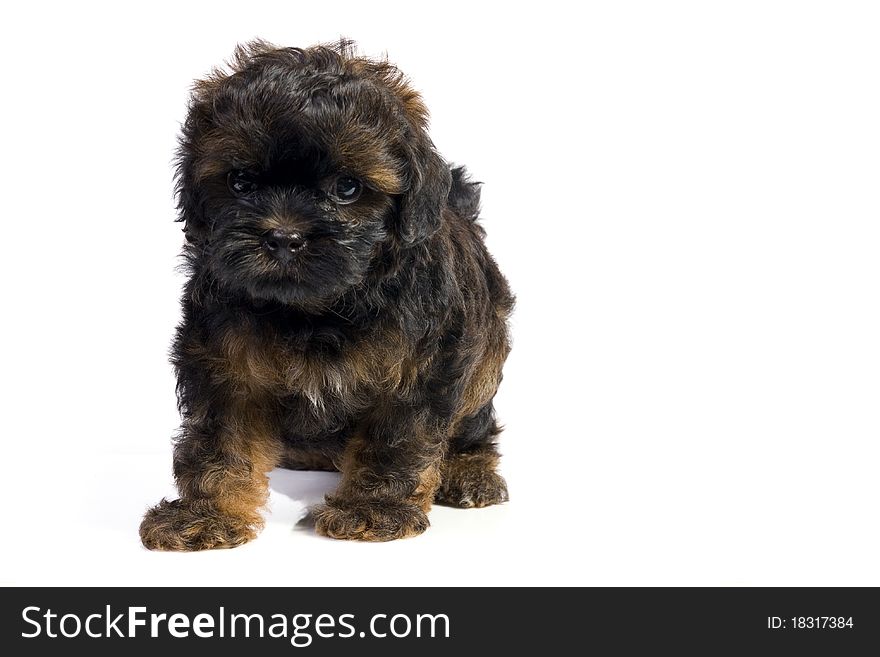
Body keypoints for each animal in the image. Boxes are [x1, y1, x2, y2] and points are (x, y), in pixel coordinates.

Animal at [139, 39, 516, 548]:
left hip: (483, 365)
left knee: (476, 424)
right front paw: (207, 513)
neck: (316, 309)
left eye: (347, 188)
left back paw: (470, 472)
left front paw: (373, 507)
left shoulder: (420, 370)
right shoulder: (223, 364)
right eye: (241, 182)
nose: (283, 237)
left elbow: (394, 439)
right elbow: (221, 441)